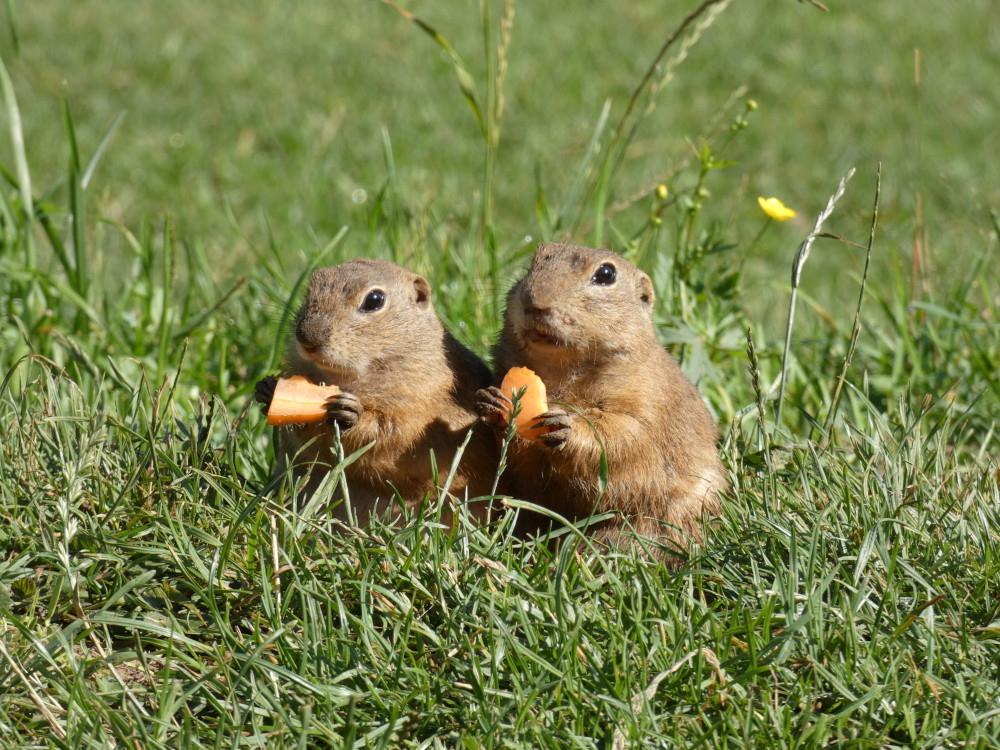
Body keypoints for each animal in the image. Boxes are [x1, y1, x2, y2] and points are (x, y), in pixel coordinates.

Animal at [254, 262, 496, 524]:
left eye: (374, 300)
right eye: (310, 288)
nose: (306, 337)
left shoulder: (420, 397)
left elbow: (392, 432)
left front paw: (349, 413)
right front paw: (267, 390)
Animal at [478, 244, 728, 560]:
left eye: (606, 274)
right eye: (535, 259)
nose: (535, 302)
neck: (561, 370)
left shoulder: (646, 393)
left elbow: (624, 434)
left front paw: (566, 425)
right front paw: (491, 402)